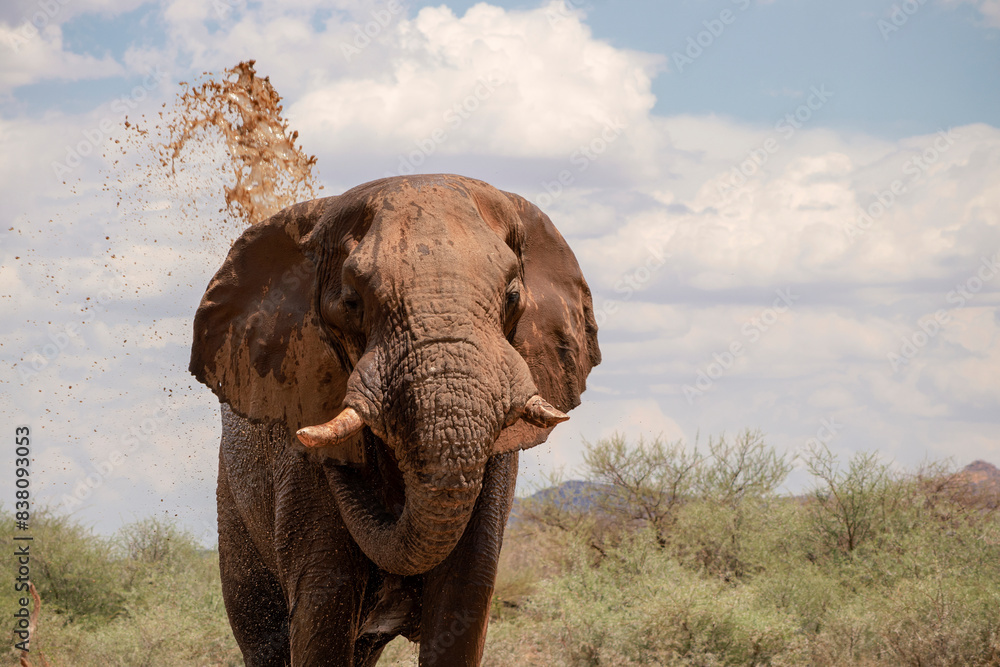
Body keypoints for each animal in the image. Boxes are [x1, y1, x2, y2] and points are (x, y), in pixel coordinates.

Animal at [190, 174, 600, 666]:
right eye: (352, 302)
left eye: (513, 297)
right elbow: (323, 606)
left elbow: (462, 605)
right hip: (233, 497)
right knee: (264, 636)